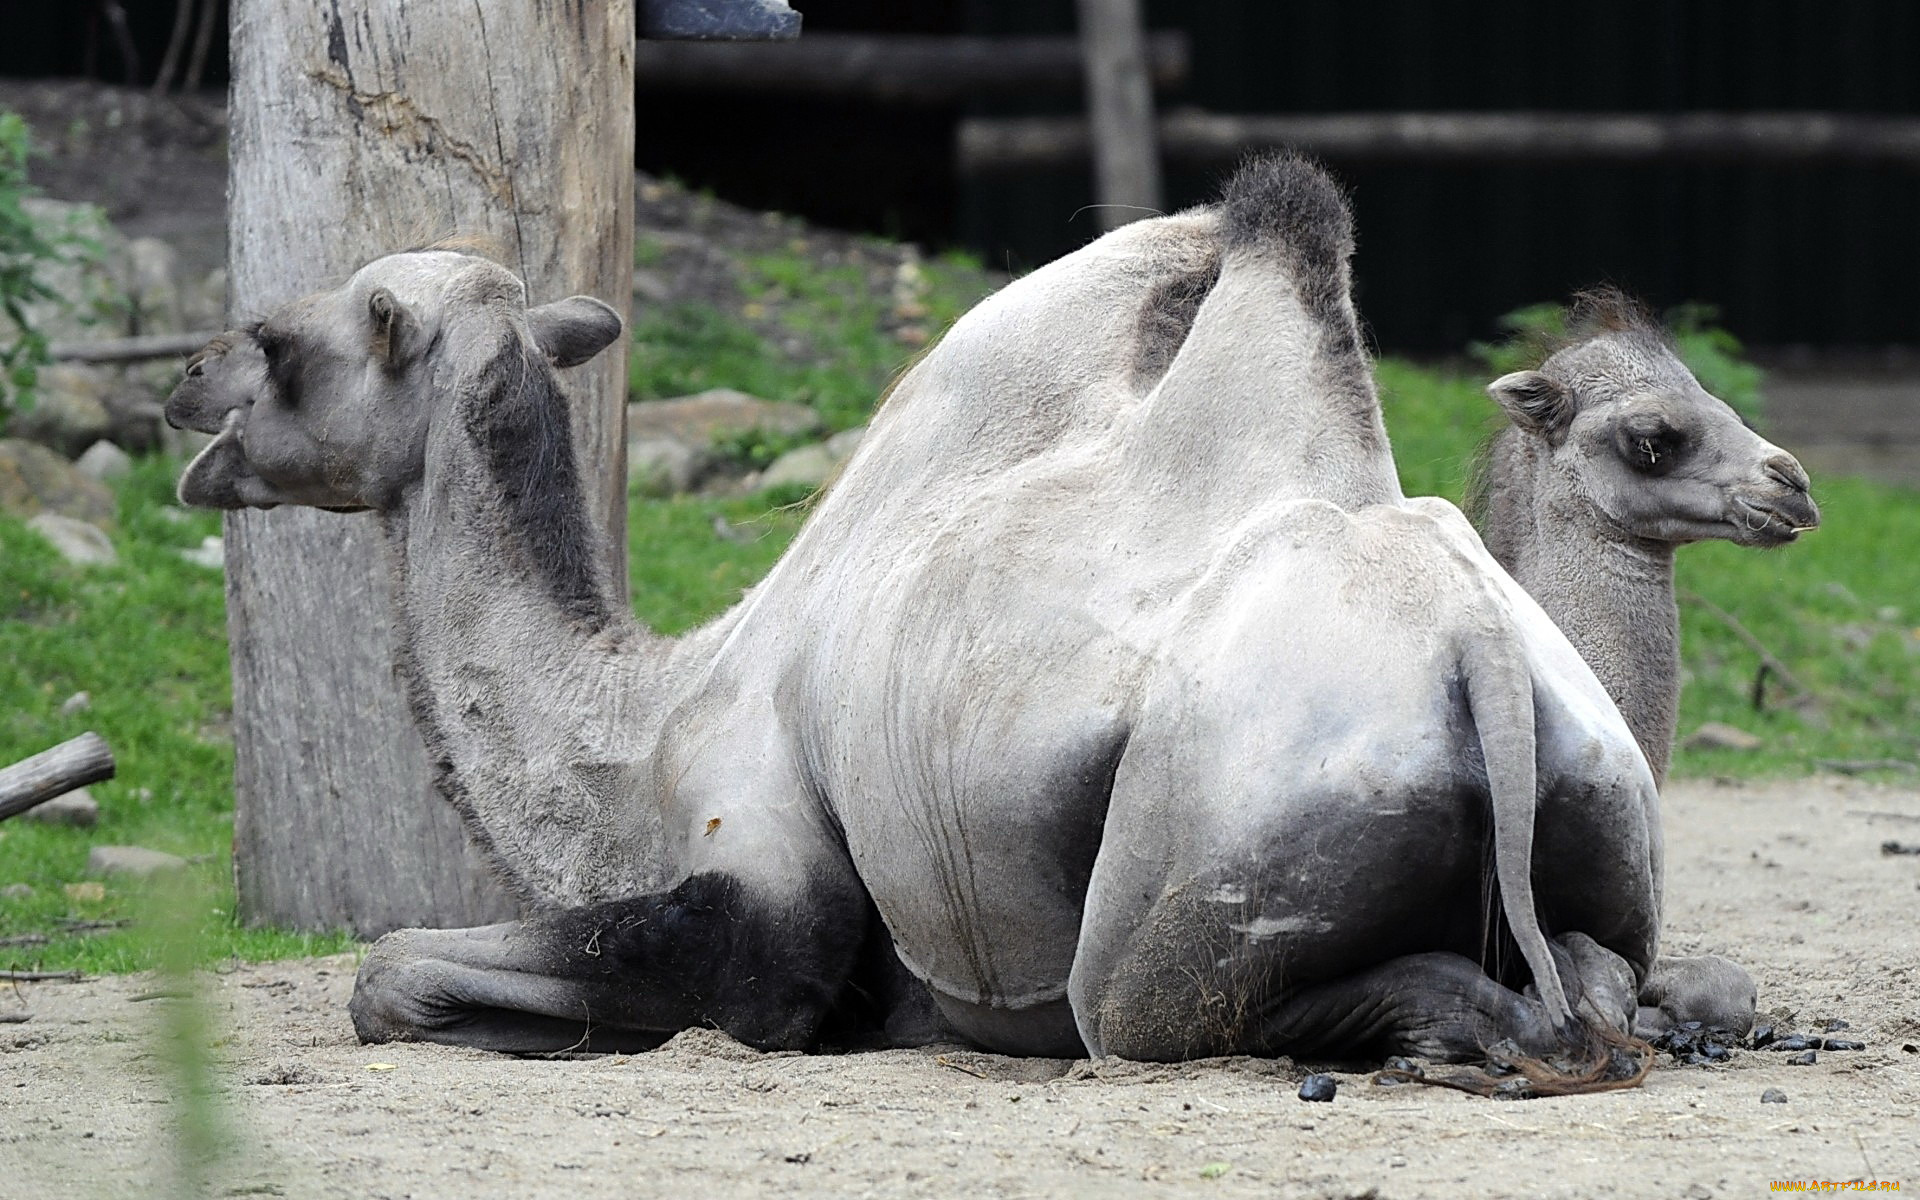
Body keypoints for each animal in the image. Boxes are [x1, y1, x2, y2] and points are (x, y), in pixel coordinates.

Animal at [168, 156, 1812, 1067]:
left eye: (284, 340)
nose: (184, 381)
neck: (638, 724)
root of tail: (1479, 654)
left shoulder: (767, 902)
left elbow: (391, 971)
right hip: (1599, 802)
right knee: (1591, 974)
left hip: (1191, 872)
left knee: (1150, 1015)